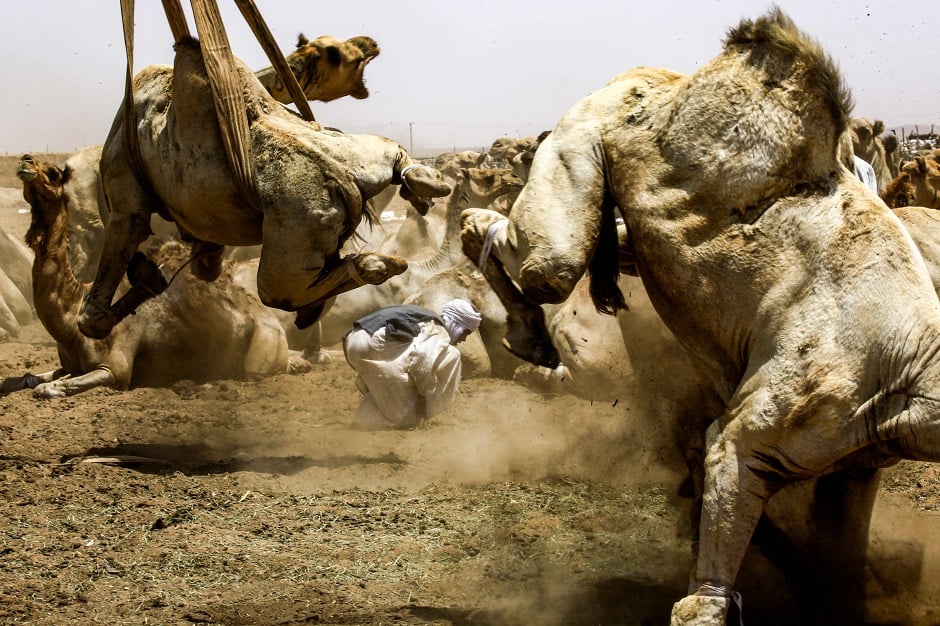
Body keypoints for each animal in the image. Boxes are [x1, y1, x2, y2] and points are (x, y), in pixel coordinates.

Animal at [7, 154, 290, 398]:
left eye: (54, 173)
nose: (26, 161)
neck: (73, 313)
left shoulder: (115, 370)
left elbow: (50, 386)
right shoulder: (69, 364)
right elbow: (32, 378)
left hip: (265, 345)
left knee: (251, 376)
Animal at [77, 34, 452, 342]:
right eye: (347, 56)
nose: (370, 44)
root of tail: (339, 177)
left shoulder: (127, 201)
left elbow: (96, 309)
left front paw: (126, 292)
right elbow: (201, 261)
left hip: (294, 234)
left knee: (277, 291)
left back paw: (373, 265)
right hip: (354, 160)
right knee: (391, 152)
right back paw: (423, 188)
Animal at [462, 7, 940, 620]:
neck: (909, 365)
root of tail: (654, 79)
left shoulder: (855, 463)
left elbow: (839, 555)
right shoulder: (760, 431)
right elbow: (707, 588)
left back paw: (528, 331)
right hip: (583, 132)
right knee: (547, 263)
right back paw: (506, 293)